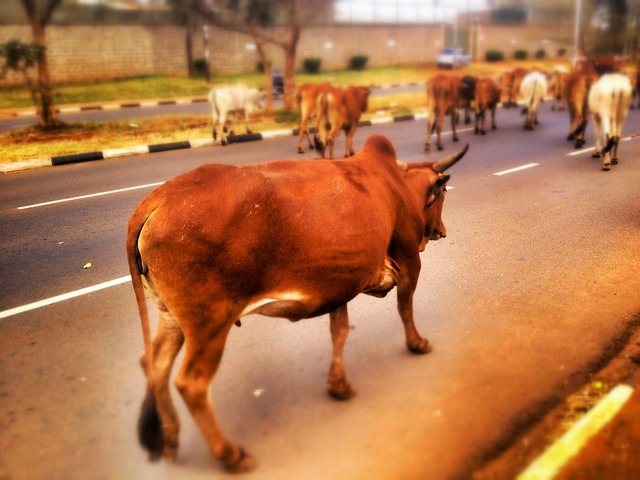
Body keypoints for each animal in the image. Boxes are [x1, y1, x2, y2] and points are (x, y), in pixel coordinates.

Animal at [126, 134, 467, 473]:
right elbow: (404, 308)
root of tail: (155, 200)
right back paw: (231, 454)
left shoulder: (340, 282)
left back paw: (170, 439)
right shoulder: (409, 262)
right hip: (209, 324)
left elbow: (340, 332)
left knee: (155, 364)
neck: (397, 183)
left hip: (171, 317)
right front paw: (417, 343)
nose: (442, 231)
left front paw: (338, 386)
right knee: (191, 384)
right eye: (441, 193)